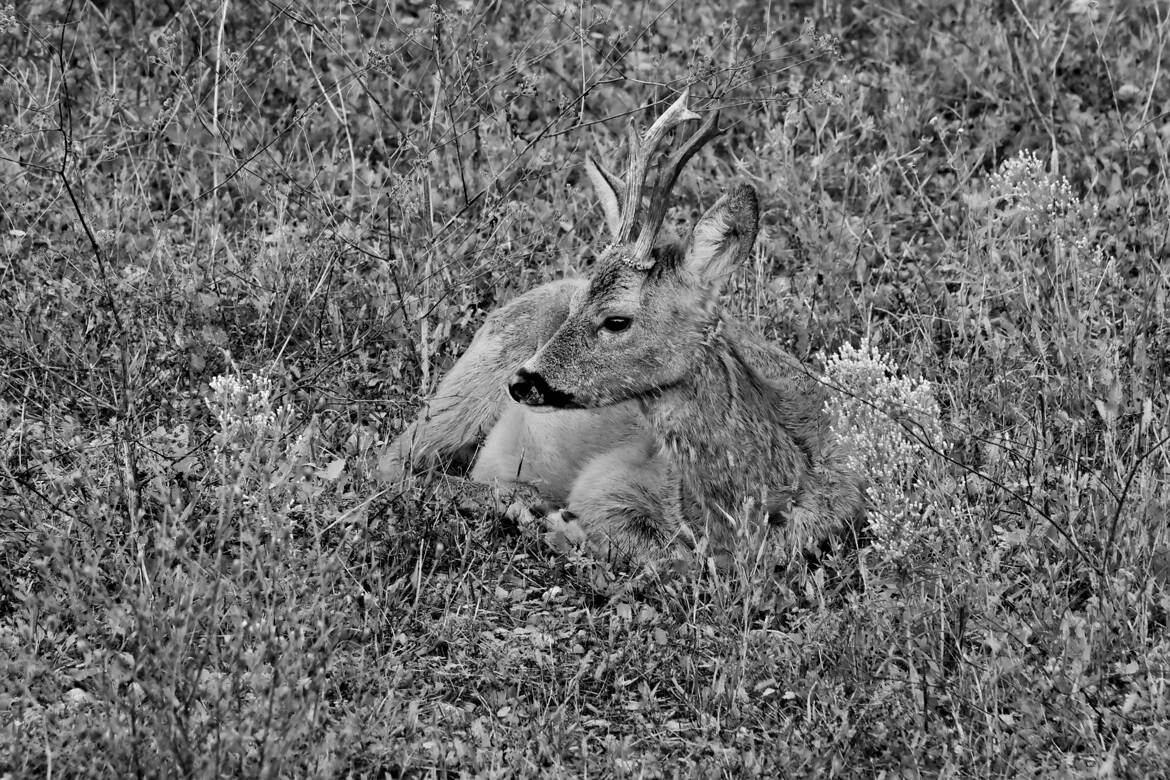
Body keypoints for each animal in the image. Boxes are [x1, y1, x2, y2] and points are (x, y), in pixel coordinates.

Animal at [379, 91, 865, 563]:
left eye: (616, 320)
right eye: (578, 306)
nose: (522, 382)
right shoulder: (607, 483)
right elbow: (660, 555)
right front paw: (555, 523)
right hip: (469, 388)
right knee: (391, 464)